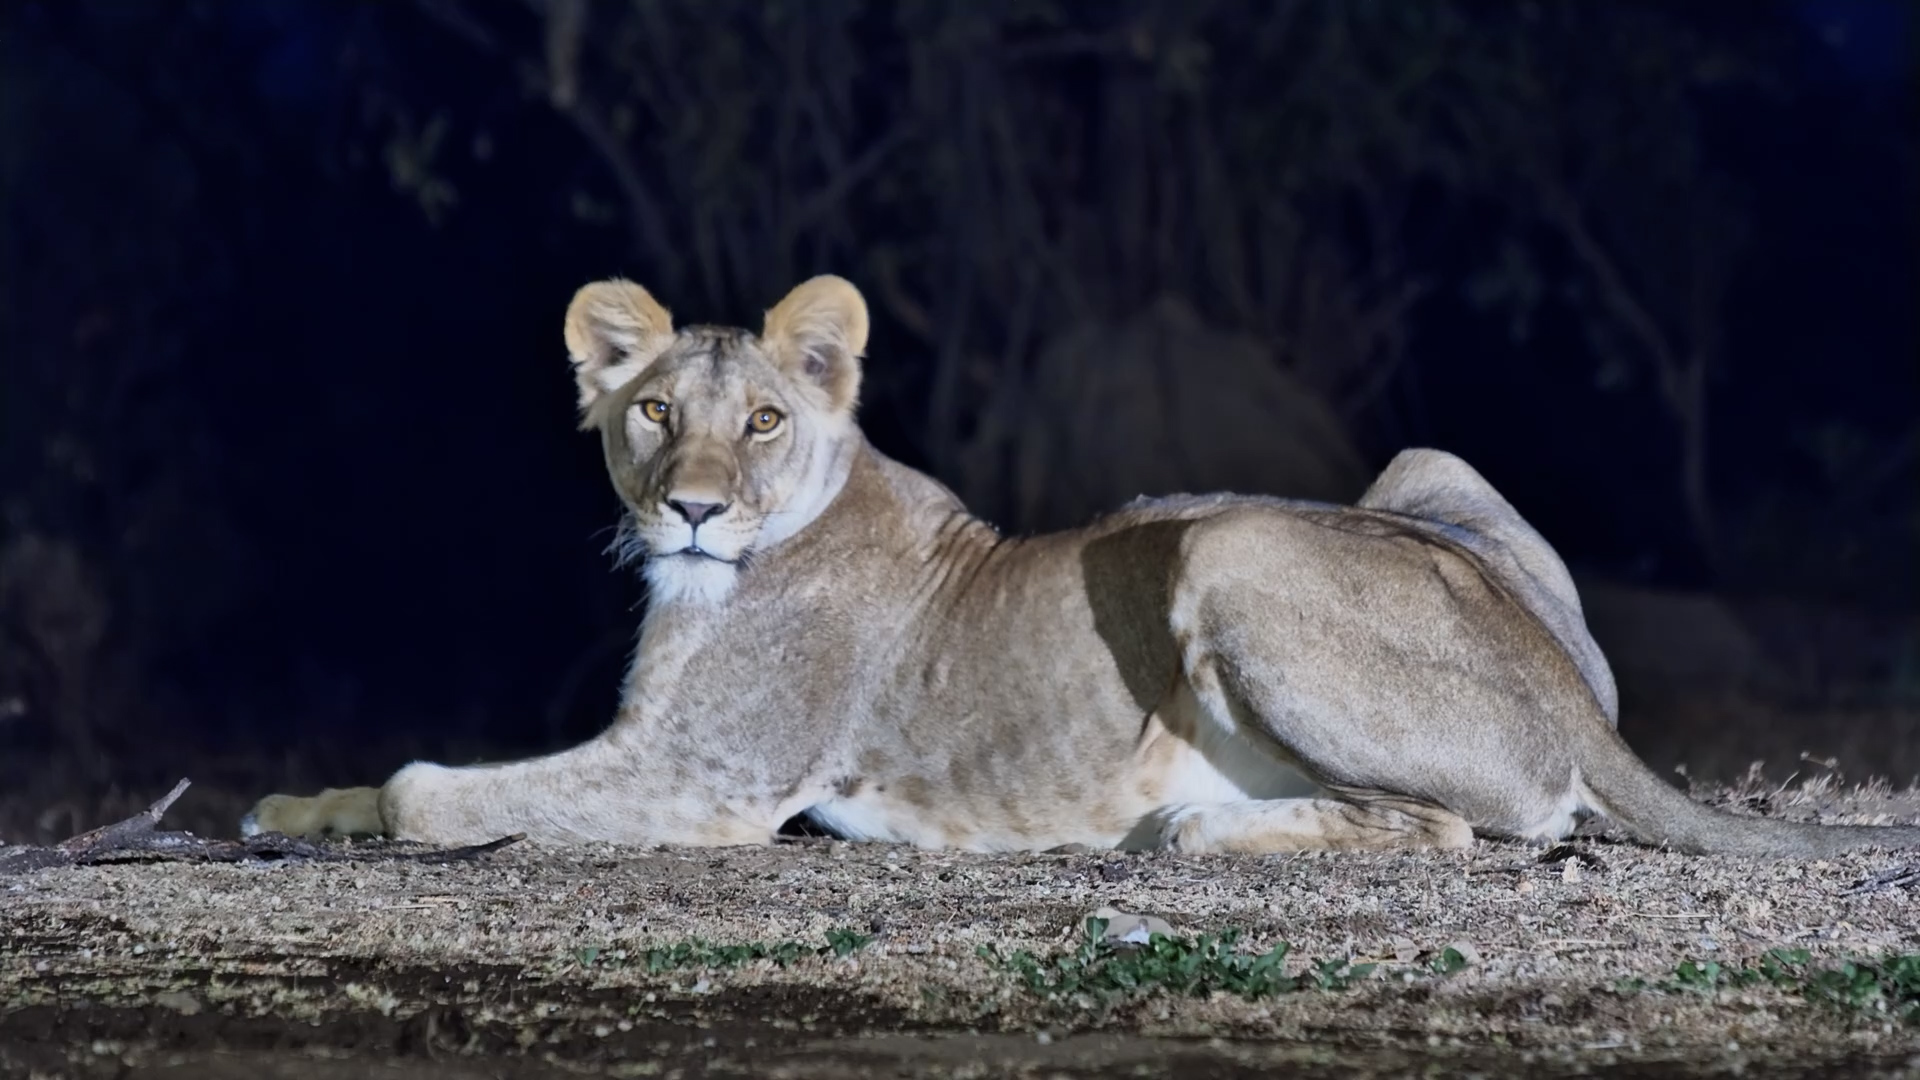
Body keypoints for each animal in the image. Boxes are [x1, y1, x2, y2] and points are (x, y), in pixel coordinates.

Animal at [242, 275, 1920, 857]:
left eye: (765, 419)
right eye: (653, 413)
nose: (695, 510)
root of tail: (1570, 694)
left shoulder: (708, 783)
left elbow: (426, 787)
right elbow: (372, 782)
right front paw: (286, 810)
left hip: (1228, 539)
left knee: (1470, 826)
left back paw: (1189, 834)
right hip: (1417, 467)